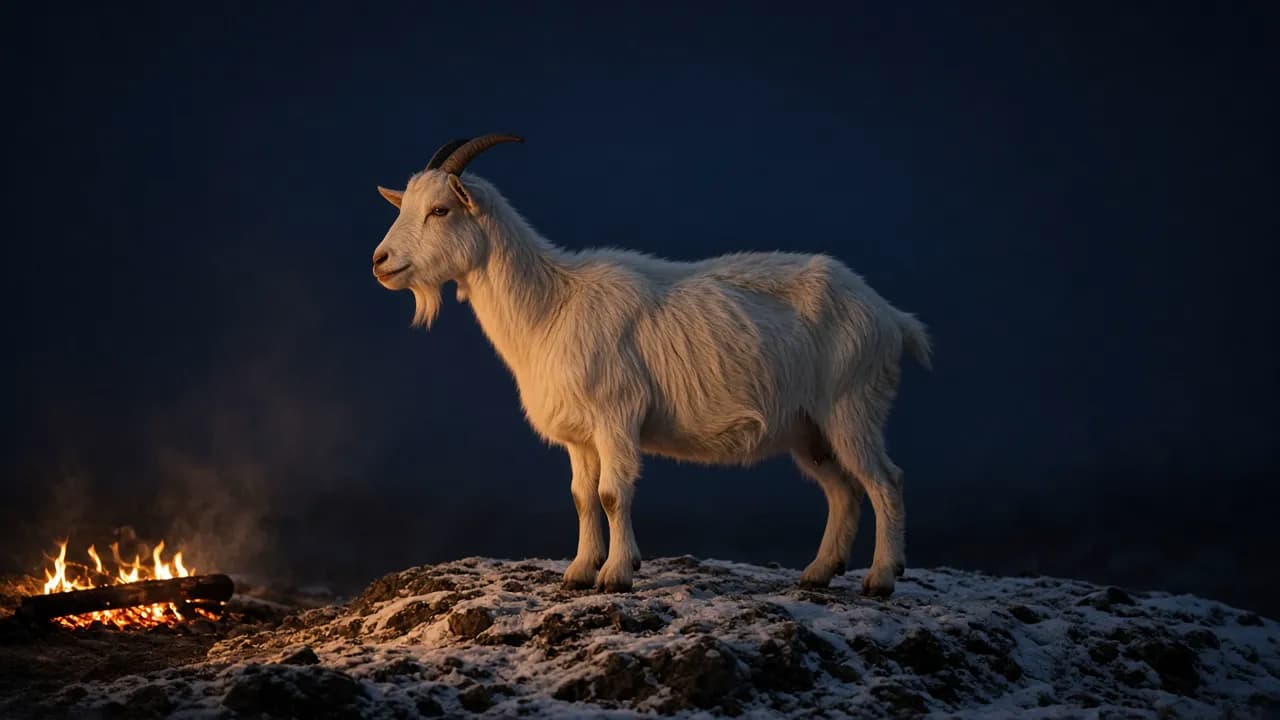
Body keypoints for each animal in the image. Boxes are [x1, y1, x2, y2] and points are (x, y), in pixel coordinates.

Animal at [371, 134, 931, 596]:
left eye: (440, 209)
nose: (380, 262)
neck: (551, 306)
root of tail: (891, 317)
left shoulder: (616, 415)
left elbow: (613, 493)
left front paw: (617, 574)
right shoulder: (580, 434)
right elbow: (581, 496)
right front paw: (580, 571)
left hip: (850, 406)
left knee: (885, 480)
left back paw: (882, 578)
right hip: (809, 428)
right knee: (843, 490)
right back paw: (818, 572)